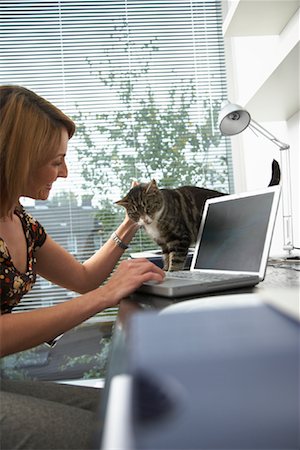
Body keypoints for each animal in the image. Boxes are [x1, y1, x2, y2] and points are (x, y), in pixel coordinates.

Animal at [116, 160, 280, 270]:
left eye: (148, 207)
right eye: (135, 212)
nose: (145, 219)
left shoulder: (180, 238)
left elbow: (176, 260)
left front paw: (172, 272)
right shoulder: (164, 244)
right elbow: (167, 257)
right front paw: (165, 270)